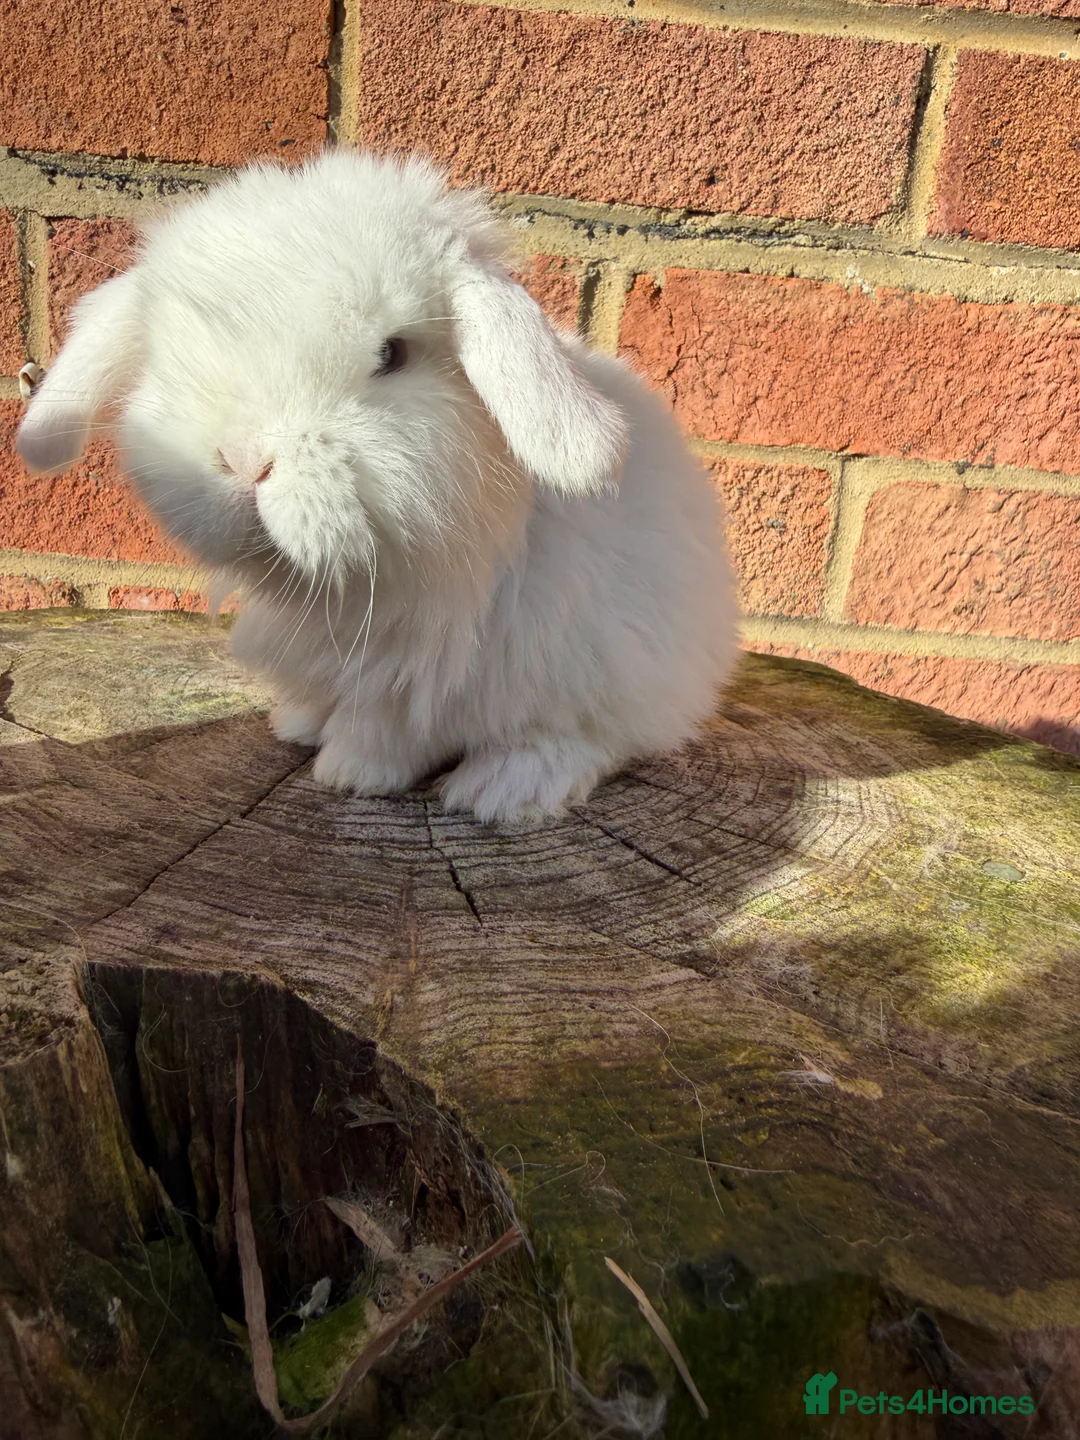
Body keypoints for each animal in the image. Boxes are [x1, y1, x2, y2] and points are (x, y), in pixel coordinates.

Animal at [16, 149, 739, 824]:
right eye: (171, 349)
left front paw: (350, 772)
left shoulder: (417, 671)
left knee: (598, 738)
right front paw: (299, 723)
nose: (243, 459)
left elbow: (385, 730)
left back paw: (502, 791)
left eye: (392, 355)